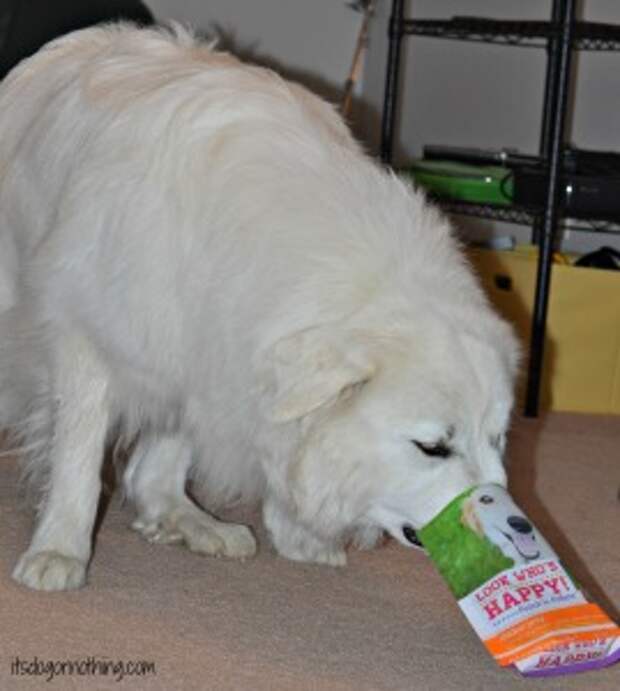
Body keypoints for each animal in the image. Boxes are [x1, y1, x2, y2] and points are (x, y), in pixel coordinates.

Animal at [0, 24, 520, 592]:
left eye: (496, 438)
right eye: (432, 447)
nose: (514, 524)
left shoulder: (212, 343)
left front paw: (289, 535)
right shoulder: (88, 334)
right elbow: (80, 454)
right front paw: (59, 549)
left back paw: (187, 518)